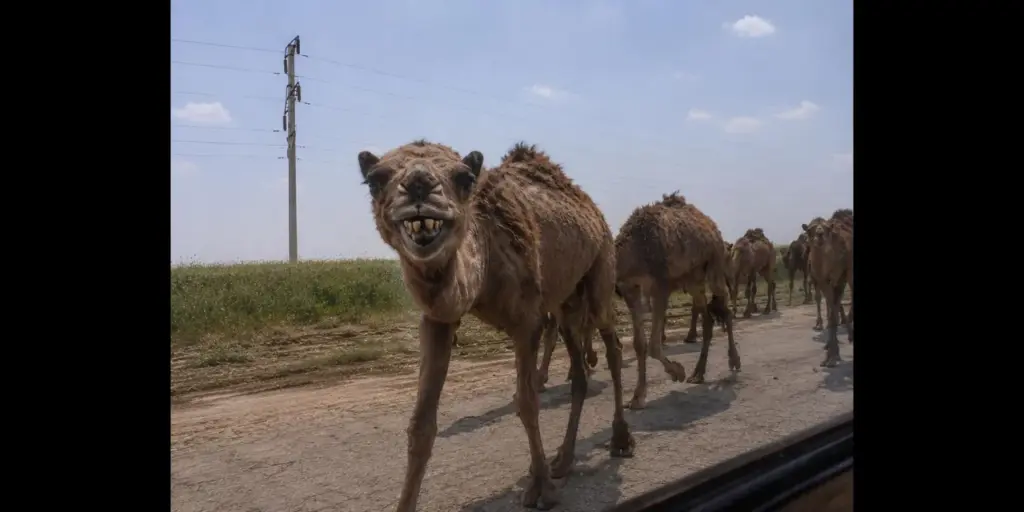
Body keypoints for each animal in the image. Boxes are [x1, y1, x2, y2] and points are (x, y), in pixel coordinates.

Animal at [357, 140, 633, 510]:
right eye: (375, 180)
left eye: (464, 178)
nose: (418, 184)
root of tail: (594, 210)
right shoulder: (439, 319)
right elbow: (421, 426)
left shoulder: (527, 319)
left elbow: (527, 402)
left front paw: (541, 489)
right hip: (564, 302)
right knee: (578, 371)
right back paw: (563, 460)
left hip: (601, 270)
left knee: (613, 347)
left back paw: (620, 439)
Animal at [613, 192, 739, 410]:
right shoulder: (631, 289)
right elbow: (639, 344)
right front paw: (637, 397)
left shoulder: (660, 287)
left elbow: (654, 345)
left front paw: (677, 372)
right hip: (693, 280)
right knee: (708, 318)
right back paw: (698, 374)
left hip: (714, 266)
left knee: (725, 311)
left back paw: (734, 361)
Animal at [802, 209, 853, 367]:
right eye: (810, 230)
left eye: (827, 229)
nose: (819, 234)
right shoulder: (824, 281)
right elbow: (832, 312)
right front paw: (830, 355)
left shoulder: (840, 277)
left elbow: (833, 313)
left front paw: (832, 356)